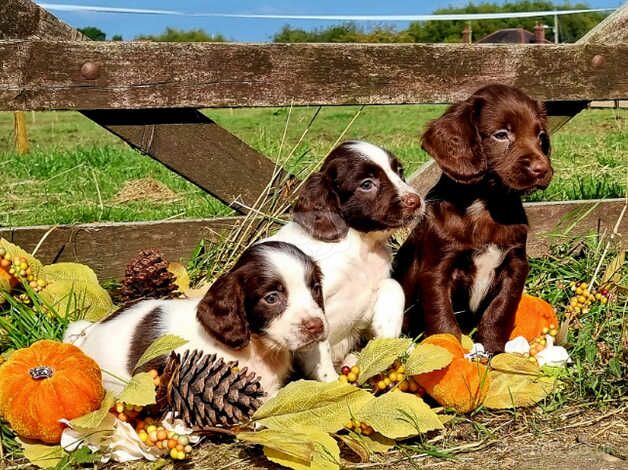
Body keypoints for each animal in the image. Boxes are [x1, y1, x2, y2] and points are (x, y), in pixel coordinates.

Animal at [264, 140, 422, 382]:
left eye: (399, 171)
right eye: (367, 184)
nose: (416, 200)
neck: (360, 246)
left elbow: (393, 285)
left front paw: (387, 327)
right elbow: (321, 354)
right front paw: (335, 386)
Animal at [394, 84, 552, 352]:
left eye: (540, 136)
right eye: (501, 135)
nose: (542, 170)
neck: (485, 204)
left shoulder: (516, 266)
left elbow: (499, 311)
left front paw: (492, 351)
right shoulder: (436, 270)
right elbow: (443, 318)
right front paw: (451, 352)